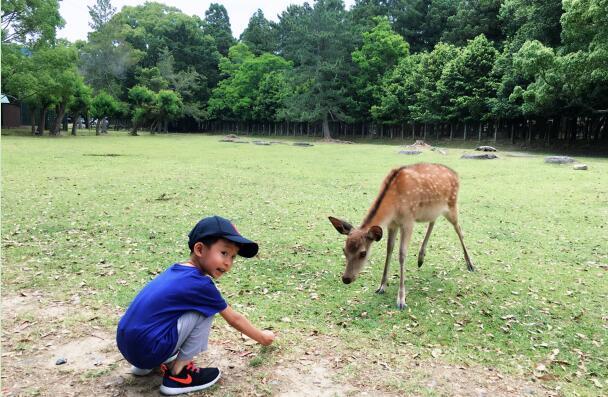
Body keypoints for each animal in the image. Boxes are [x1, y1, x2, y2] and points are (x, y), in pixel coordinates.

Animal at [330, 162, 472, 308]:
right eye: (344, 250)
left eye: (363, 253)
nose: (346, 278)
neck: (394, 205)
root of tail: (456, 174)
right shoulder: (392, 224)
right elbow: (389, 250)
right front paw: (381, 287)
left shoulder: (408, 221)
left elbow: (402, 254)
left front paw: (401, 300)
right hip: (432, 209)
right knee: (433, 221)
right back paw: (421, 258)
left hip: (452, 204)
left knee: (459, 229)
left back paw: (470, 265)